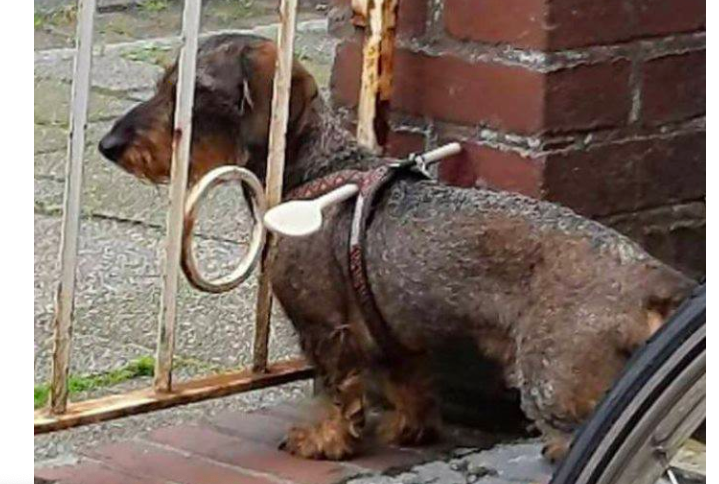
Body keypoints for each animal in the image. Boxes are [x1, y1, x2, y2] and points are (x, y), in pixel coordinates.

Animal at [99, 33, 695, 462]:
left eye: (192, 93)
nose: (109, 145)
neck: (318, 170)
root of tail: (651, 275)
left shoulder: (324, 327)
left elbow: (335, 390)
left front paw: (323, 441)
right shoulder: (391, 332)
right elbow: (406, 383)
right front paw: (411, 428)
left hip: (555, 384)